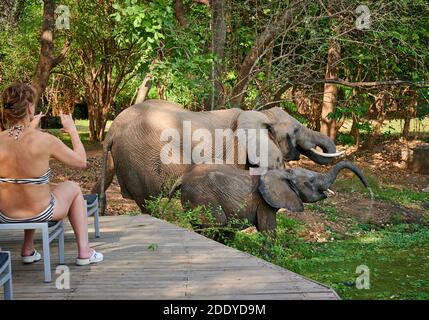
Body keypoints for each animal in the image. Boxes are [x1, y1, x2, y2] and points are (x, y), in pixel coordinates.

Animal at [95, 99, 342, 215]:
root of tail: (113, 128)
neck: (260, 114)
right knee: (150, 202)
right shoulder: (235, 151)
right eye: (296, 131)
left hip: (118, 157)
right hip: (140, 160)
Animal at [168, 161, 368, 231]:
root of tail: (182, 178)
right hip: (203, 196)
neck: (284, 172)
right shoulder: (264, 202)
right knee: (217, 224)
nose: (367, 186)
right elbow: (267, 230)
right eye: (310, 181)